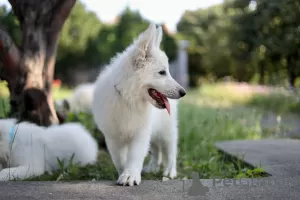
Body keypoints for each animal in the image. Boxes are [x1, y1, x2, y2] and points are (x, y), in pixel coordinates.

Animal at [92, 23, 185, 186]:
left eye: (167, 71)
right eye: (162, 72)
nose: (183, 92)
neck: (128, 99)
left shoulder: (140, 133)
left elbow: (134, 156)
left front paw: (130, 175)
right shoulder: (113, 138)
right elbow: (120, 160)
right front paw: (123, 173)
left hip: (167, 130)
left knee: (171, 150)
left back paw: (170, 171)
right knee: (156, 150)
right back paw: (153, 167)